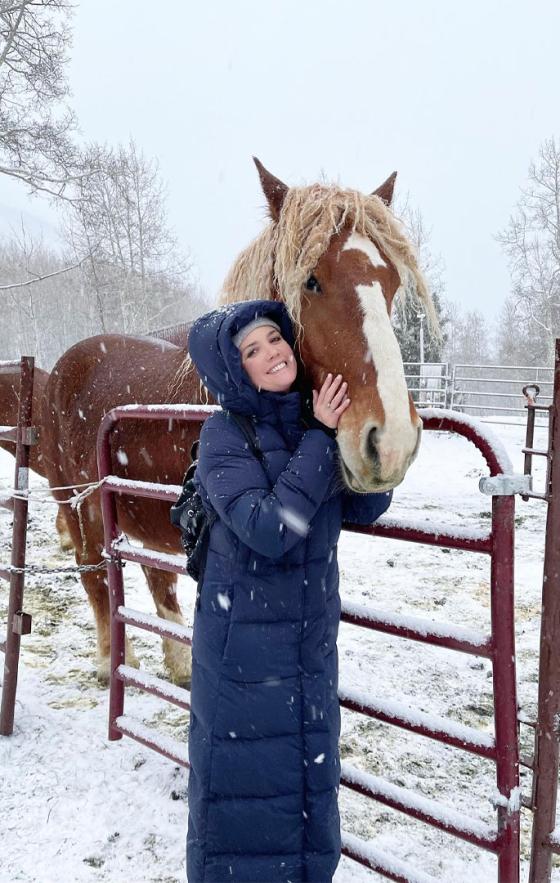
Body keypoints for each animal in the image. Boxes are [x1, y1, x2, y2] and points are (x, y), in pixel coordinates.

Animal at [39, 159, 436, 684]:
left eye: (390, 281)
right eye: (311, 280)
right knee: (94, 574)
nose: (391, 442)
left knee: (155, 578)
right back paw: (111, 661)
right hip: (77, 505)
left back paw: (176, 665)